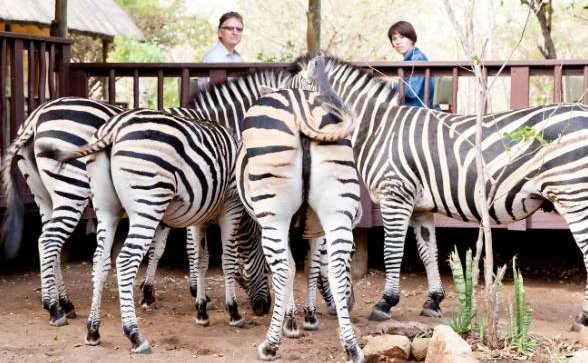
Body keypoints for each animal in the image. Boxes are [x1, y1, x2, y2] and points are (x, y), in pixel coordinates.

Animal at [237, 65, 366, 362]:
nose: (352, 304)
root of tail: (300, 104)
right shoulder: (317, 229)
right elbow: (312, 267)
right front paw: (308, 317)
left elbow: (291, 267)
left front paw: (291, 321)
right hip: (336, 210)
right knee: (337, 271)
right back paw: (351, 346)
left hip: (273, 214)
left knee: (283, 269)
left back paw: (270, 345)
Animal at [292, 55, 588, 328]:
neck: (377, 130)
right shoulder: (420, 207)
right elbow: (428, 252)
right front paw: (433, 301)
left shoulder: (394, 195)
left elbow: (392, 251)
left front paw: (385, 303)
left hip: (574, 195)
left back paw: (583, 318)